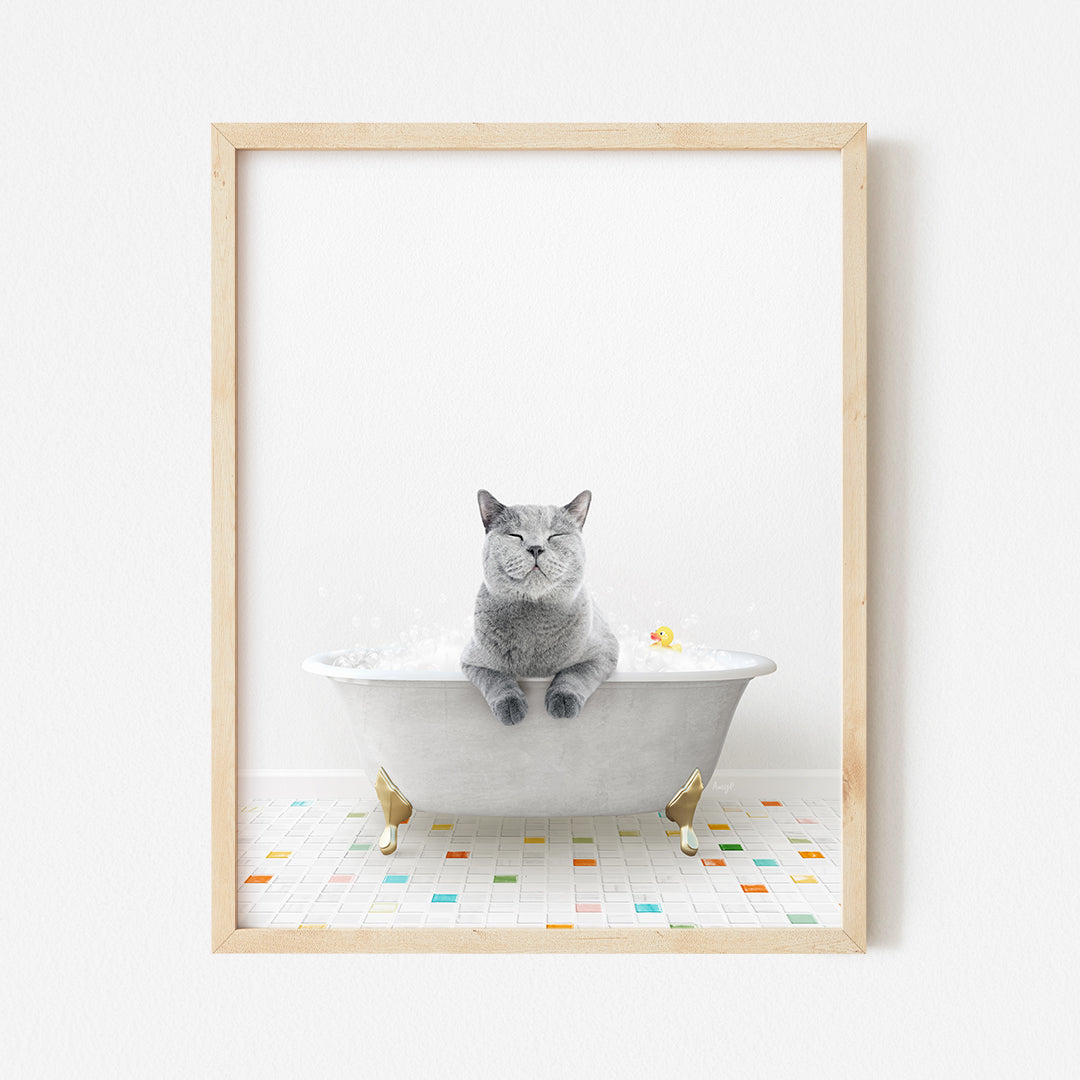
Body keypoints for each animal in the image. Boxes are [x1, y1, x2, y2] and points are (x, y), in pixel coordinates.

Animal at [460, 490, 622, 725]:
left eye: (555, 536)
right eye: (515, 536)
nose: (535, 548)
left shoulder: (604, 651)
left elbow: (576, 672)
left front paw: (562, 701)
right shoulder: (472, 660)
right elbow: (496, 678)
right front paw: (511, 706)